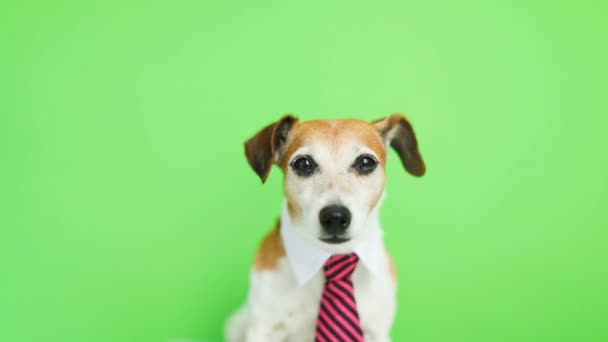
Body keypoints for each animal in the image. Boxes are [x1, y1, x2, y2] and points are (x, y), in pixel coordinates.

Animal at [226, 113, 426, 340]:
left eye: (366, 162)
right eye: (303, 164)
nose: (335, 217)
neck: (333, 256)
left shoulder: (377, 332)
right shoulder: (264, 329)